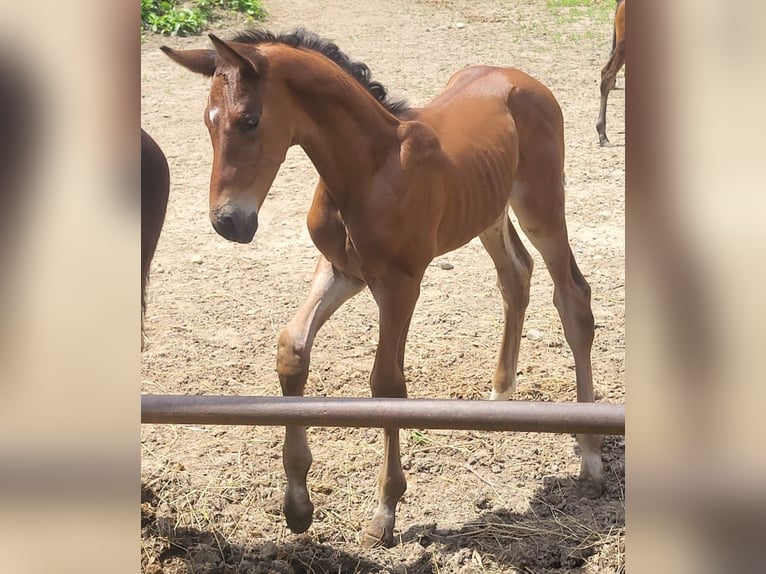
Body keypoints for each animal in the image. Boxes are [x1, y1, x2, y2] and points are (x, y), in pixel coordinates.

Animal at [164, 29, 608, 552]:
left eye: (250, 120)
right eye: (208, 121)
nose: (228, 222)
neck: (368, 168)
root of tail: (523, 79)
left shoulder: (401, 283)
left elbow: (387, 383)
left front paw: (385, 512)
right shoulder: (342, 270)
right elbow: (292, 350)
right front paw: (297, 505)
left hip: (541, 205)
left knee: (573, 297)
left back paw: (591, 458)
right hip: (487, 209)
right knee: (515, 273)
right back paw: (500, 397)